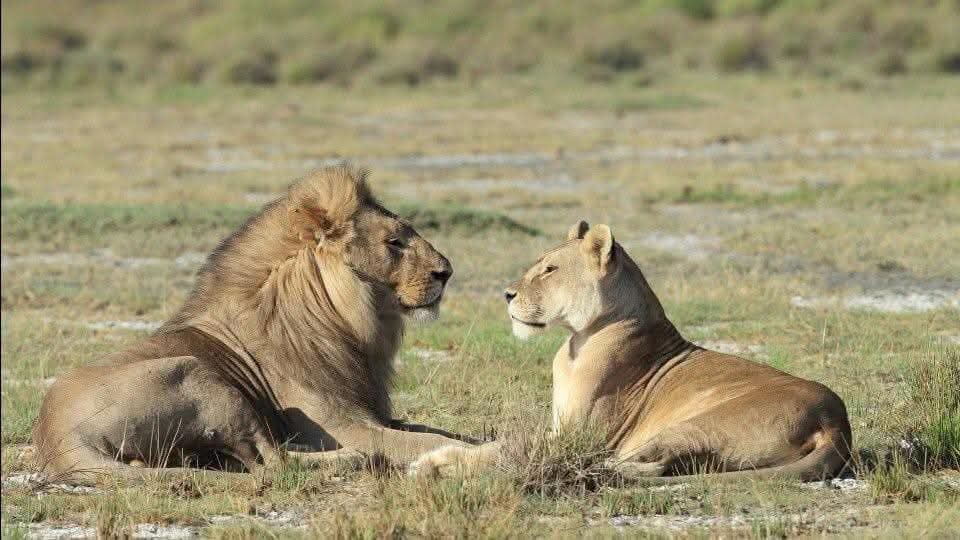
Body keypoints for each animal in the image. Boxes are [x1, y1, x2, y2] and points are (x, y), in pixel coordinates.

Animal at [32, 166, 477, 484]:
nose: (447, 272)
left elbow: (444, 432)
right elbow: (426, 440)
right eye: (394, 243)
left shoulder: (374, 414)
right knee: (273, 463)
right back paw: (353, 460)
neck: (357, 323)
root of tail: (57, 438)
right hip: (198, 374)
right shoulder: (338, 426)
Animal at [499, 220, 853, 482]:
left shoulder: (580, 435)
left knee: (651, 463)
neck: (578, 339)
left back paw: (594, 468)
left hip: (694, 425)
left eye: (550, 270)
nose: (507, 294)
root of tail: (834, 421)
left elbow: (509, 443)